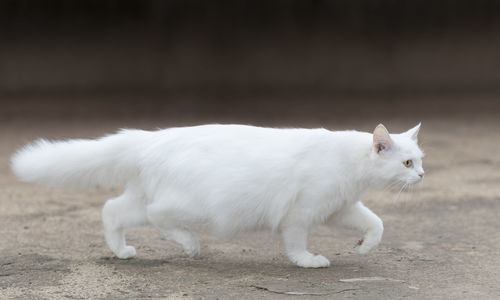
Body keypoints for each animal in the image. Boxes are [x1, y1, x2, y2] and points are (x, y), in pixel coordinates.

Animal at [10, 123, 422, 268]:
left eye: (420, 160)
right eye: (406, 163)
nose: (420, 175)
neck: (350, 163)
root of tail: (152, 137)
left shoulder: (339, 208)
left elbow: (376, 224)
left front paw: (364, 248)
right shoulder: (300, 213)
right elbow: (295, 244)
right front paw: (307, 261)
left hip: (141, 198)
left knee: (112, 210)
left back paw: (123, 251)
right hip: (190, 204)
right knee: (157, 217)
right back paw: (190, 245)